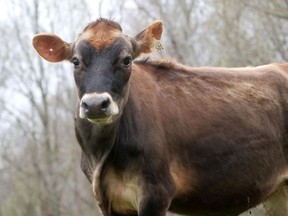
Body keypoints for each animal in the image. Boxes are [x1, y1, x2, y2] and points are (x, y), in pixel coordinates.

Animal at [32, 19, 288, 216]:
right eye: (76, 61)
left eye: (127, 59)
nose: (95, 104)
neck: (101, 154)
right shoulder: (108, 201)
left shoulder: (156, 191)